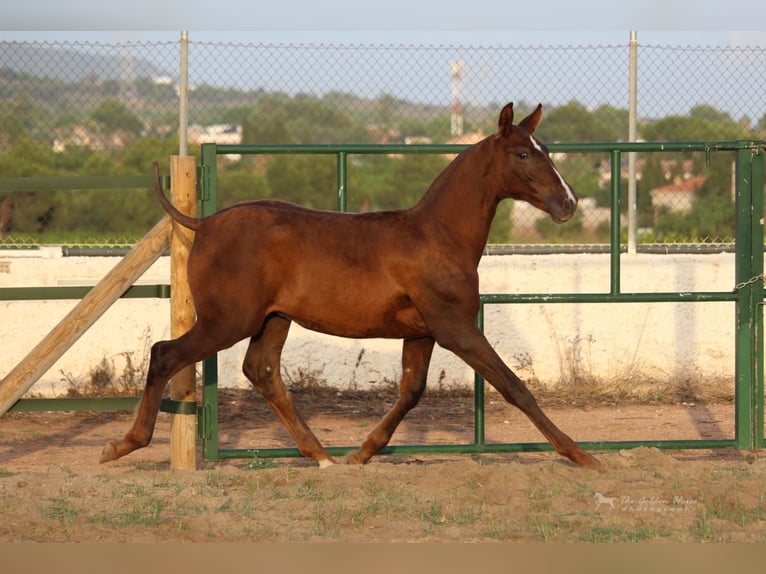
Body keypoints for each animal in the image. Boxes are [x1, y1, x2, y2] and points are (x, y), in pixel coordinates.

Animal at [102, 104, 604, 472]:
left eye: (545, 148)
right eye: (524, 155)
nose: (568, 203)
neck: (437, 236)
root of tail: (202, 223)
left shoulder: (422, 333)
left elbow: (411, 391)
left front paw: (362, 453)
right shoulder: (456, 329)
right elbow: (515, 386)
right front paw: (582, 455)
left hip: (273, 319)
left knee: (262, 371)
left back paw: (322, 456)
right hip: (227, 321)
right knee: (165, 354)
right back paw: (123, 444)